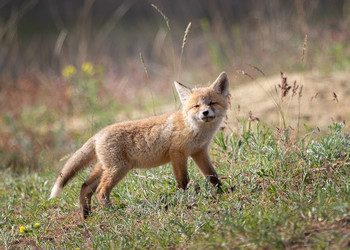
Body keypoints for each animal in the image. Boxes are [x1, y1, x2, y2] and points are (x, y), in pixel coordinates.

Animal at [49, 71, 230, 218]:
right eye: (196, 106)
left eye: (212, 103)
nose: (205, 113)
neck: (195, 129)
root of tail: (98, 133)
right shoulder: (177, 153)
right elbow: (183, 181)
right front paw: (184, 199)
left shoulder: (199, 152)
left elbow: (212, 175)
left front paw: (224, 192)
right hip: (118, 169)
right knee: (101, 192)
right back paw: (113, 212)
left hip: (105, 168)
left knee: (85, 187)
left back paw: (86, 216)